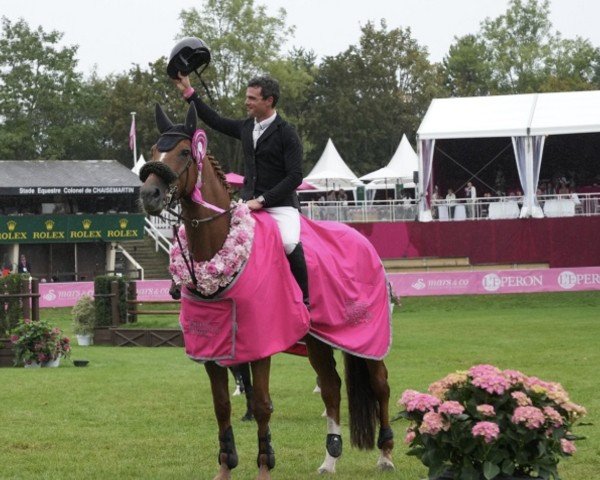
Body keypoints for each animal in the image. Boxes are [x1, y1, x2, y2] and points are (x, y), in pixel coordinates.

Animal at [138, 104, 396, 480]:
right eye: (155, 149)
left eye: (184, 152)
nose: (149, 195)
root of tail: (363, 240)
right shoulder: (212, 349)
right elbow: (222, 406)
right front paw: (225, 467)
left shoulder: (261, 344)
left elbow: (261, 405)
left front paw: (264, 465)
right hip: (318, 340)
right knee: (331, 388)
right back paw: (330, 458)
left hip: (366, 338)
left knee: (381, 385)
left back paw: (386, 454)